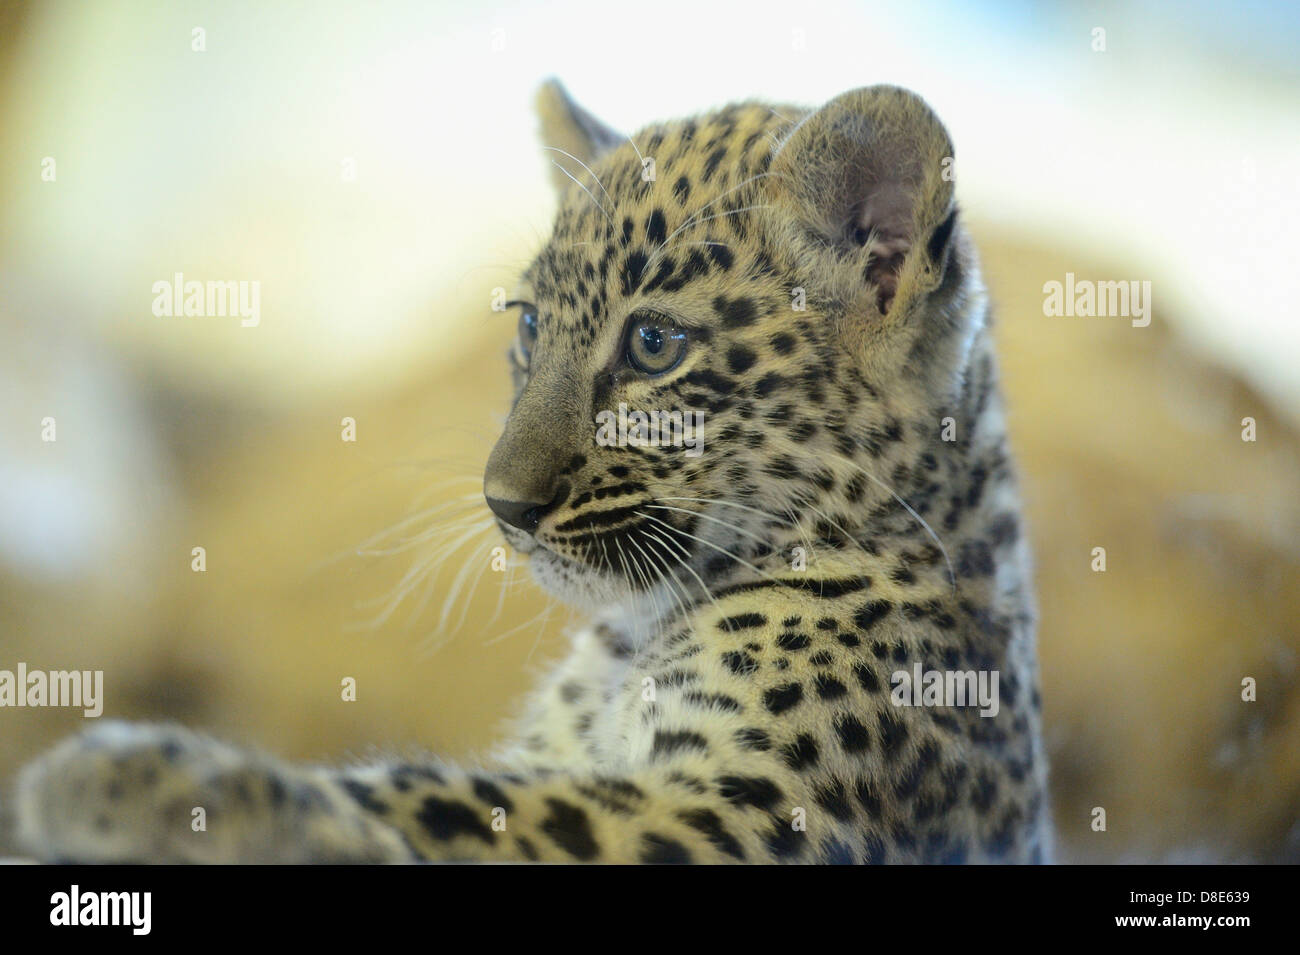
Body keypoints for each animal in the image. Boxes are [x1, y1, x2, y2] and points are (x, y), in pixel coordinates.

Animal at [13, 80, 1051, 864]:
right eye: (528, 326)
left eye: (654, 345)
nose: (503, 505)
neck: (633, 634)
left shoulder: (750, 807)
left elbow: (450, 799)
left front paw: (136, 775)